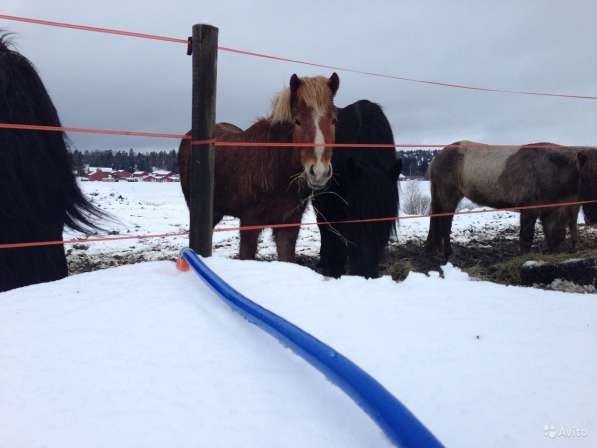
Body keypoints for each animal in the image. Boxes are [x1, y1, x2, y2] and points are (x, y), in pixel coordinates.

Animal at [178, 73, 340, 262]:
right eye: (297, 121)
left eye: (333, 120)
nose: (319, 172)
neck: (275, 168)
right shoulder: (250, 222)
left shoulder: (289, 224)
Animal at [312, 100, 400, 278]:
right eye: (354, 215)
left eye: (386, 220)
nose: (365, 273)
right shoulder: (333, 204)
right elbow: (334, 235)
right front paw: (334, 269)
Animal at [426, 140, 596, 260]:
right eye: (586, 176)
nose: (592, 218)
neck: (551, 168)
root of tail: (437, 158)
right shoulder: (529, 210)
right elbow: (527, 237)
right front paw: (525, 258)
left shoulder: (550, 211)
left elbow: (554, 236)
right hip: (449, 196)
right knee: (445, 223)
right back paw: (448, 254)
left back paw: (433, 250)